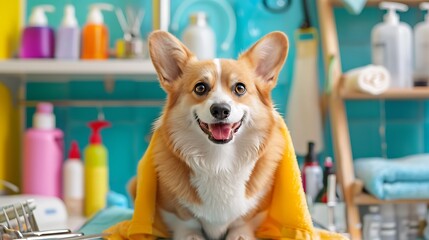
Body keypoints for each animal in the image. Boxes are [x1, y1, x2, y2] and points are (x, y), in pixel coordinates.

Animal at [134, 30, 288, 240]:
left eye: (240, 88)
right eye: (200, 88)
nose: (221, 110)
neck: (219, 162)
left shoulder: (257, 208)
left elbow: (243, 220)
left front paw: (240, 234)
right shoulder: (173, 210)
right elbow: (186, 221)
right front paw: (191, 235)